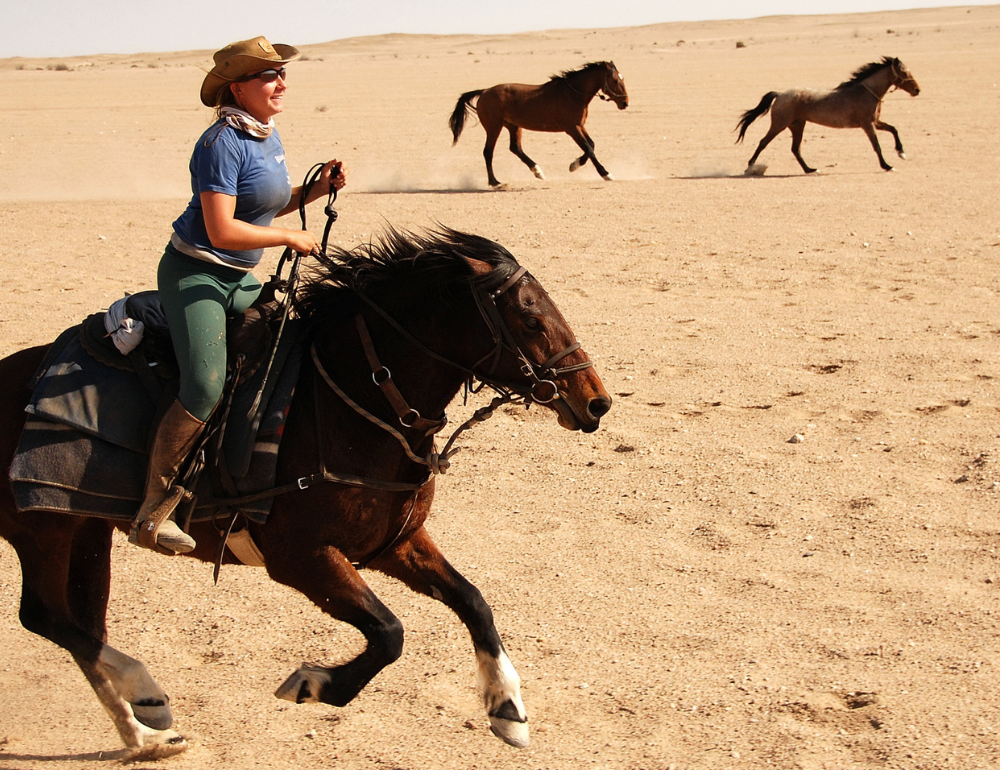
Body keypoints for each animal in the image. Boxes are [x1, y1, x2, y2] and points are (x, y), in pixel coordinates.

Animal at [0, 226, 608, 752]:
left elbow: (473, 600)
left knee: (81, 623)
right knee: (44, 617)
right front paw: (312, 684)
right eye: (530, 319)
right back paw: (147, 694)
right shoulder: (300, 557)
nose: (596, 400)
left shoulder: (395, 544)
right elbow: (389, 633)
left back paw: (142, 736)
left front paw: (508, 708)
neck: (350, 403)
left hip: (85, 530)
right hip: (41, 530)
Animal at [452, 61, 628, 188]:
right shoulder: (572, 128)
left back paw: (537, 171)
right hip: (494, 127)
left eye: (622, 78)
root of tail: (484, 92)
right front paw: (606, 174)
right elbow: (589, 148)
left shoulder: (580, 125)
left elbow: (591, 144)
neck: (574, 94)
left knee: (515, 148)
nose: (625, 102)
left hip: (513, 126)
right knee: (488, 152)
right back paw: (495, 182)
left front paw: (574, 165)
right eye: (615, 80)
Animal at [736, 56, 920, 174]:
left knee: (795, 148)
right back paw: (750, 167)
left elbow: (894, 129)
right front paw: (887, 166)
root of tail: (780, 94)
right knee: (763, 142)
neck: (867, 92)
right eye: (904, 72)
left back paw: (810, 169)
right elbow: (876, 145)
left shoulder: (875, 122)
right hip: (780, 124)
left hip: (797, 125)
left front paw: (901, 152)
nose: (917, 90)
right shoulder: (867, 124)